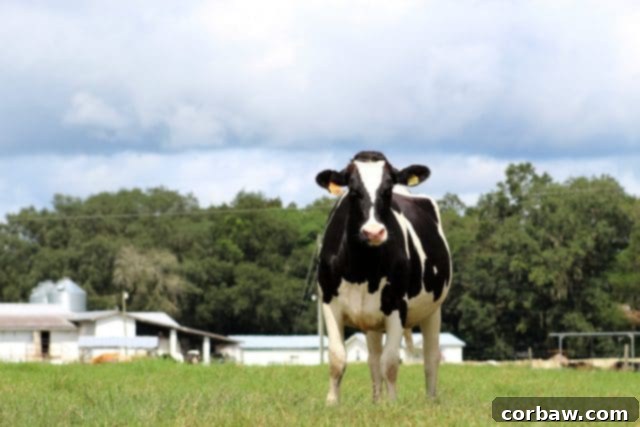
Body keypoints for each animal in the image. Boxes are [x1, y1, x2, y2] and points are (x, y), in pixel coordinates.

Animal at [315, 151, 452, 404]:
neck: (361, 269)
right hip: (372, 321)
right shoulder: (329, 302)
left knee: (430, 357)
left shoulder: (396, 306)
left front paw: (392, 404)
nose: (373, 232)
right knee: (373, 360)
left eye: (387, 190)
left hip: (433, 309)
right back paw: (376, 400)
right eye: (353, 189)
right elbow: (338, 357)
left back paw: (429, 399)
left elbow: (390, 362)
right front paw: (332, 402)